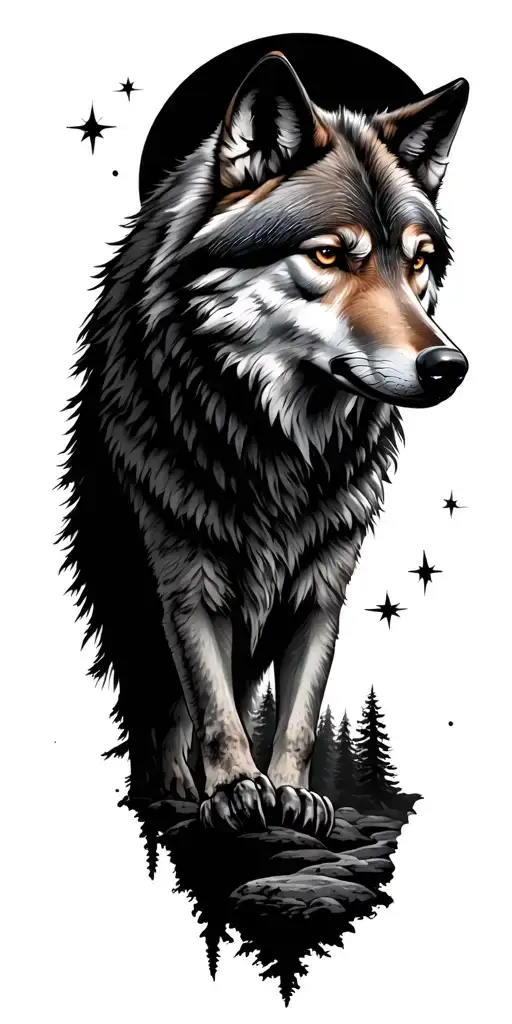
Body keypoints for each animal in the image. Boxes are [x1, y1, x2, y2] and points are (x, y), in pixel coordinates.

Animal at [61, 52, 468, 838]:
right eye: (330, 254)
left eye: (418, 262)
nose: (448, 367)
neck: (278, 447)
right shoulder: (184, 576)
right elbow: (209, 704)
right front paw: (230, 790)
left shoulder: (323, 585)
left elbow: (301, 712)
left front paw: (291, 793)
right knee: (157, 709)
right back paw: (171, 786)